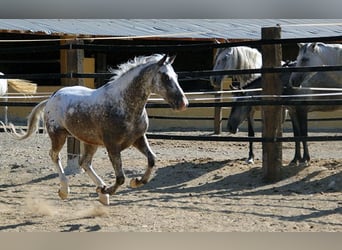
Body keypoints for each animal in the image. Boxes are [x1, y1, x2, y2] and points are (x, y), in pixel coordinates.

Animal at [6, 53, 187, 204]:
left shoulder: (138, 139)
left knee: (84, 162)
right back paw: (66, 190)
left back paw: (101, 191)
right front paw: (110, 189)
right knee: (54, 156)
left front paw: (136, 182)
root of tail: (51, 98)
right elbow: (120, 177)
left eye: (176, 76)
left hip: (89, 142)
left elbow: (152, 160)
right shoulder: (112, 145)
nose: (183, 103)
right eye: (165, 76)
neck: (123, 104)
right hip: (58, 135)